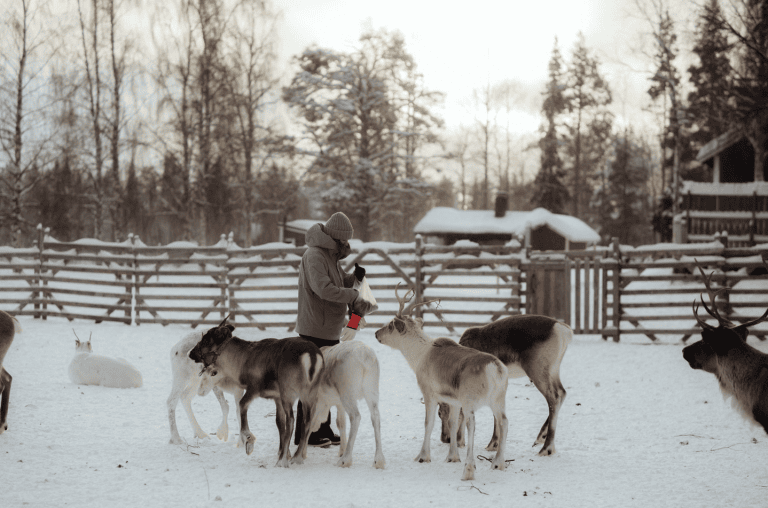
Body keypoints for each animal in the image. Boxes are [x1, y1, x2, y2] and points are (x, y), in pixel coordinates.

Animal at [189, 319, 325, 468]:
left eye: (206, 340)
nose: (191, 353)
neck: (239, 363)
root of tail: (312, 356)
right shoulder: (276, 397)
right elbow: (279, 423)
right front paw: (283, 451)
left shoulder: (254, 388)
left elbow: (242, 405)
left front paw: (249, 440)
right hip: (310, 394)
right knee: (307, 421)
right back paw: (297, 457)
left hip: (288, 393)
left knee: (291, 421)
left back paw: (282, 461)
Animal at [374, 284, 508, 481]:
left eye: (391, 325)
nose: (376, 333)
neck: (417, 356)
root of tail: (496, 370)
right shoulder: (453, 400)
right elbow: (452, 423)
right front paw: (452, 457)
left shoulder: (429, 394)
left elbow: (428, 424)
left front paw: (422, 456)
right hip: (498, 401)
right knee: (503, 422)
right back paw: (498, 463)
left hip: (470, 401)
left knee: (472, 425)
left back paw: (469, 470)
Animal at [438, 314, 572, 456]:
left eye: (441, 413)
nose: (445, 438)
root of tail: (564, 330)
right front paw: (493, 443)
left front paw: (487, 443)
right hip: (553, 370)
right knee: (562, 392)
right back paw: (541, 436)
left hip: (538, 371)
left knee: (554, 398)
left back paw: (547, 448)